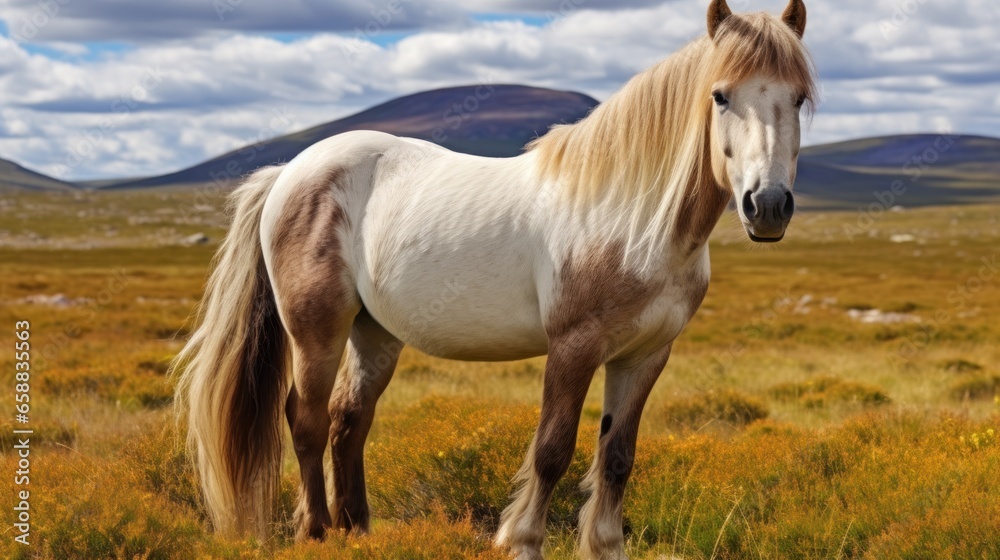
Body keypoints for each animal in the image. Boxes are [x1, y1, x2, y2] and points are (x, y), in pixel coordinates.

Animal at [173, 1, 816, 558]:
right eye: (720, 95)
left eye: (800, 97)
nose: (767, 206)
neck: (633, 216)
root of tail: (290, 171)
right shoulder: (574, 346)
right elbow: (553, 449)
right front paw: (521, 541)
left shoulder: (646, 354)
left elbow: (617, 455)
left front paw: (605, 546)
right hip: (316, 329)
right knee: (304, 419)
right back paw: (316, 533)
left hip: (373, 331)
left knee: (348, 420)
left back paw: (360, 532)